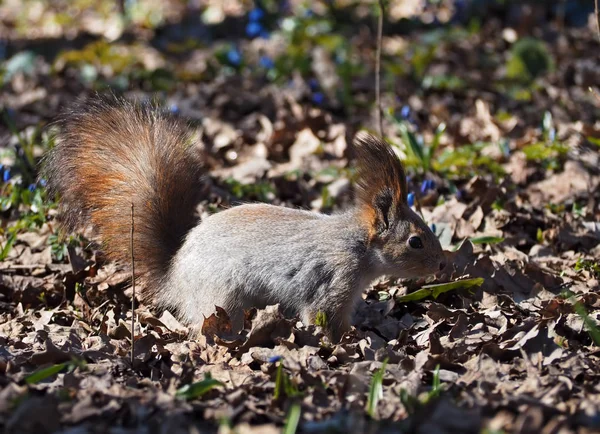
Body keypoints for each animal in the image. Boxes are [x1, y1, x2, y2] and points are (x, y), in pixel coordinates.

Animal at [42, 96, 446, 342]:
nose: (444, 265)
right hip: (225, 300)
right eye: (415, 241)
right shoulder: (333, 282)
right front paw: (351, 342)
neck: (356, 245)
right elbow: (326, 319)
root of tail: (174, 277)